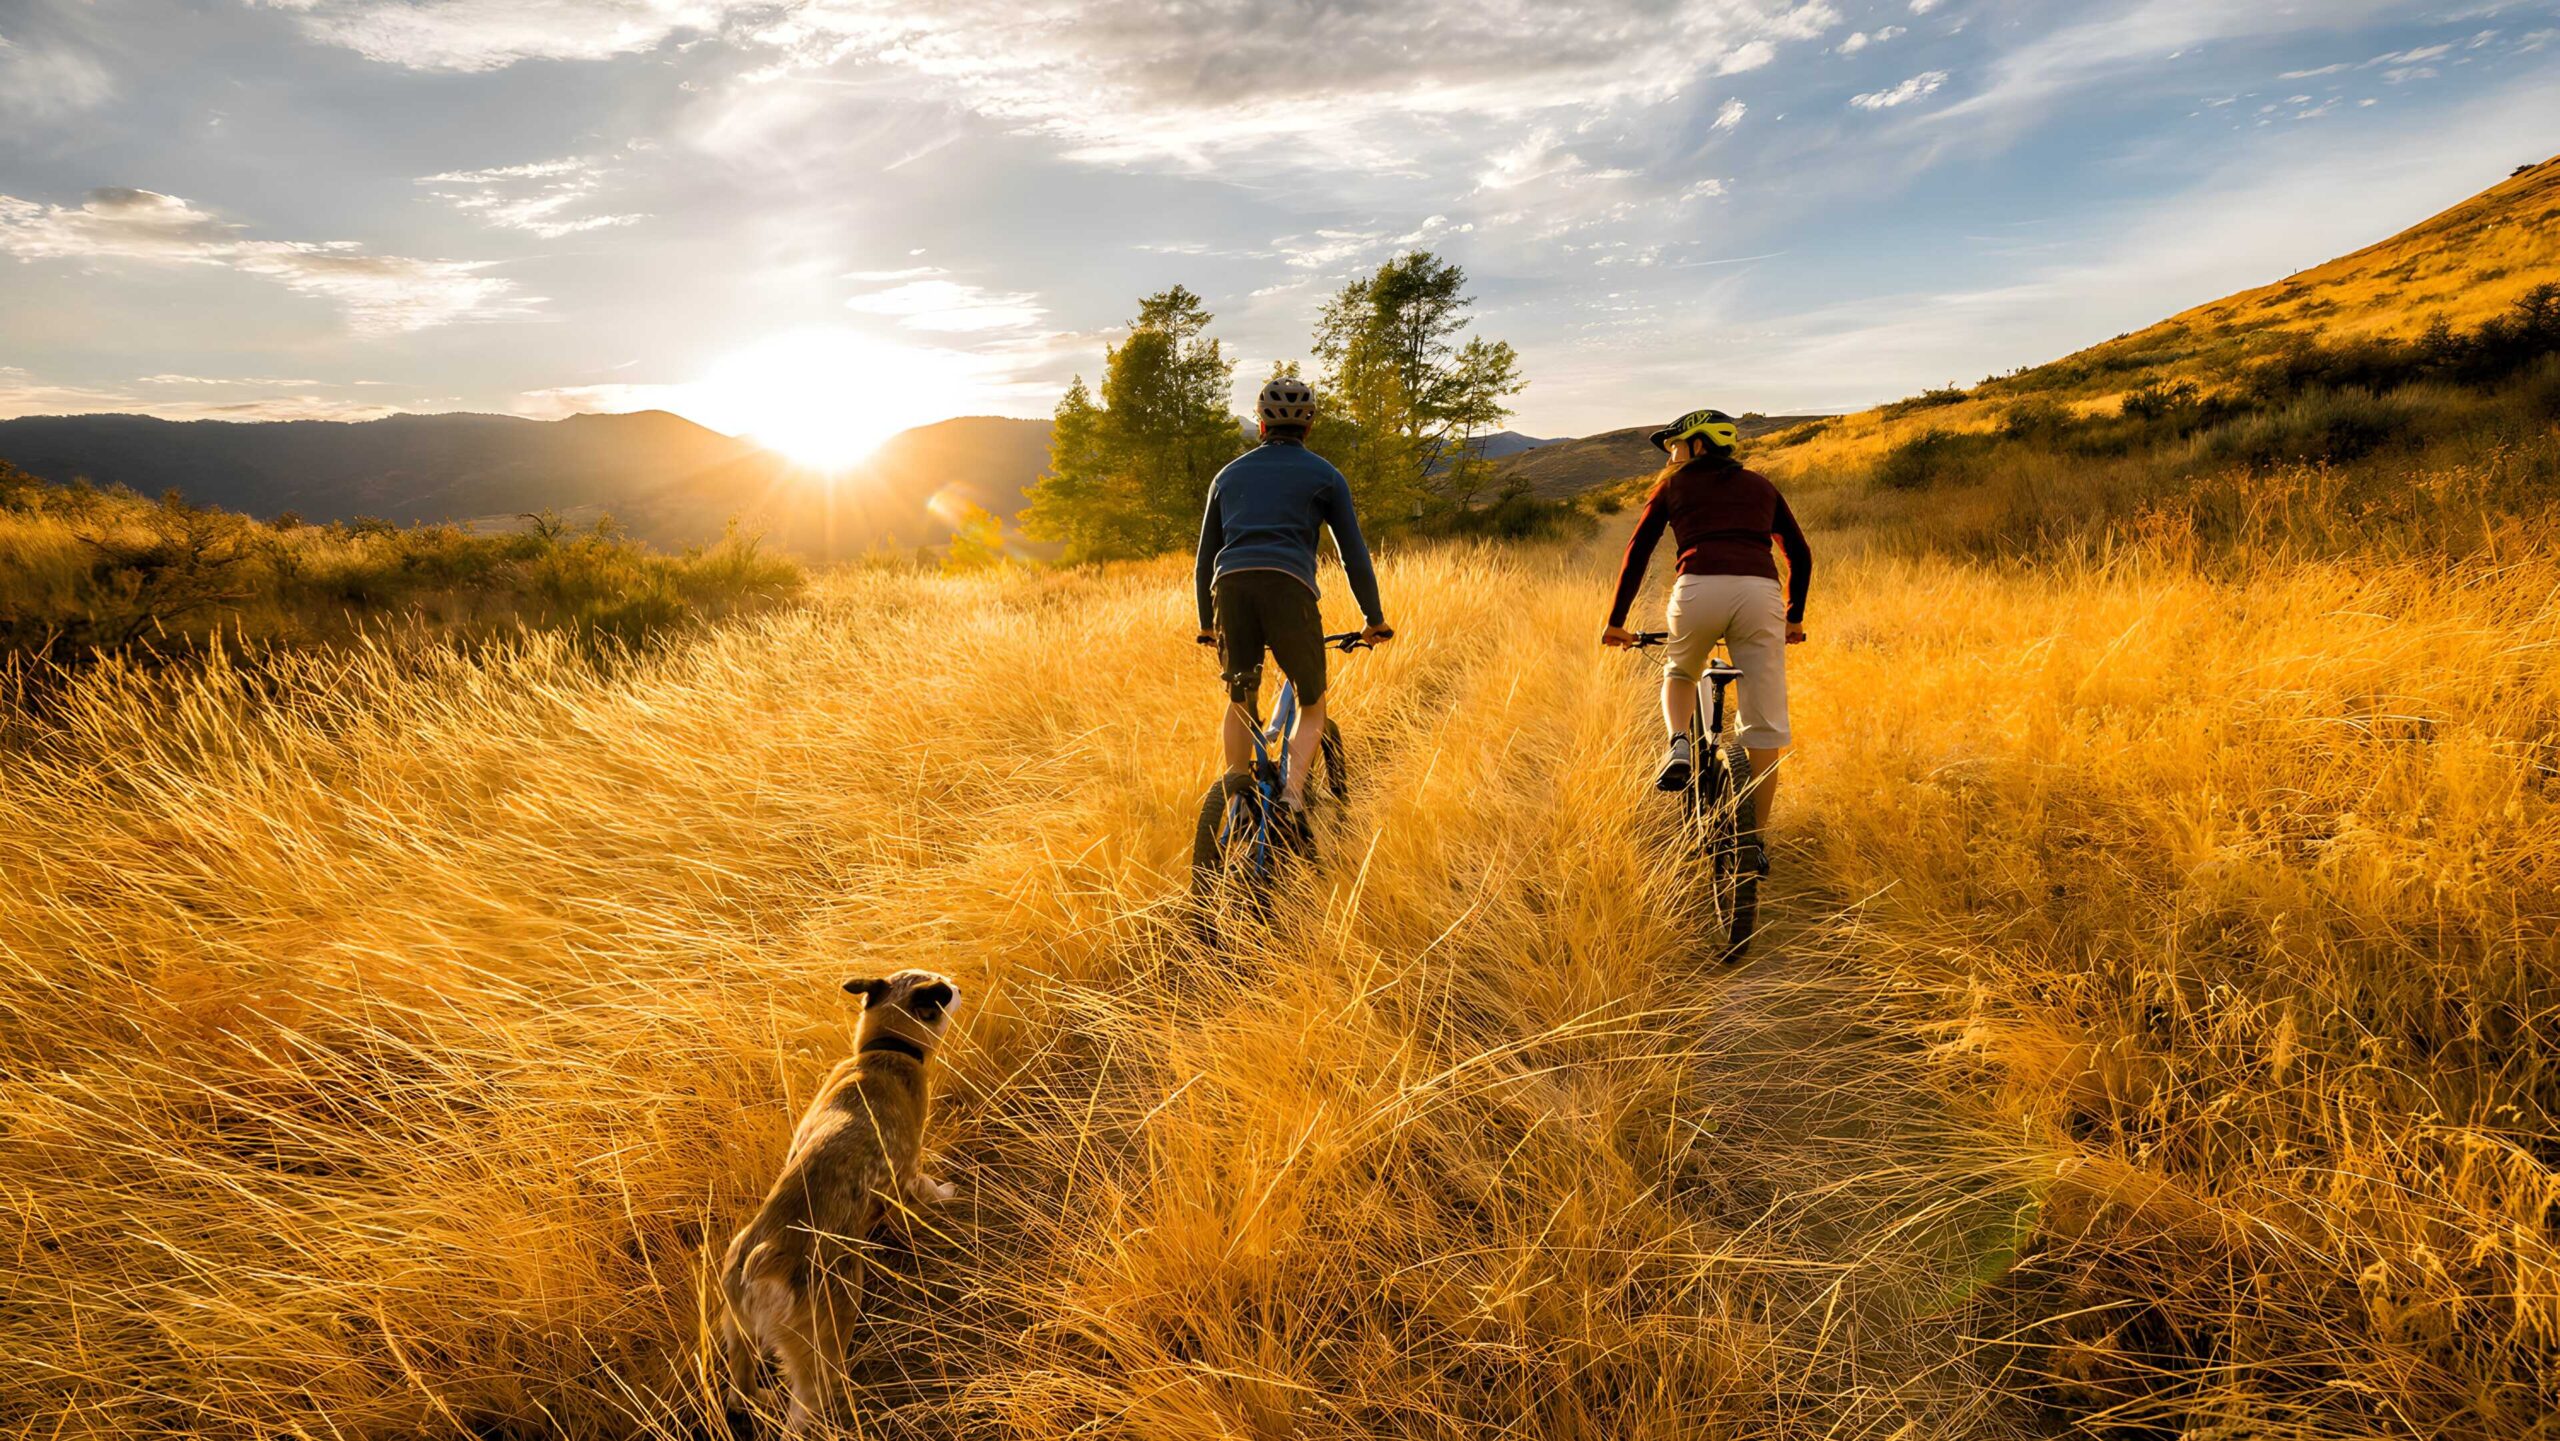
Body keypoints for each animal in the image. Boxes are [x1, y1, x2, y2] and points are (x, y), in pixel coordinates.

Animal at [716, 967, 962, 1433]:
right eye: (941, 989)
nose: (956, 985)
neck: (882, 1052)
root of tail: (767, 1250)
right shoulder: (906, 1174)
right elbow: (924, 1194)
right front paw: (944, 1196)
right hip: (830, 1330)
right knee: (804, 1407)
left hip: (738, 1331)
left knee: (740, 1390)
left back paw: (758, 1399)